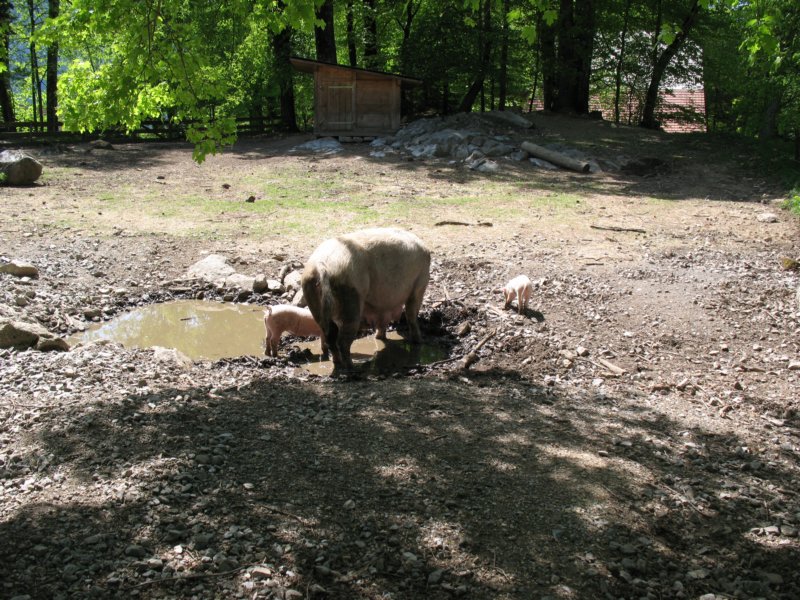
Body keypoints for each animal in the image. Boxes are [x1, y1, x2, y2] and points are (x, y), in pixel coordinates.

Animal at [302, 229, 432, 370]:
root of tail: (321, 265)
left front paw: (380, 338)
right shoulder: (420, 284)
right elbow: (411, 315)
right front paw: (420, 342)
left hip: (313, 300)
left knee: (330, 337)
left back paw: (338, 362)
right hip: (351, 299)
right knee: (342, 341)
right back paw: (352, 368)